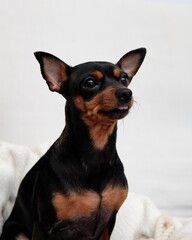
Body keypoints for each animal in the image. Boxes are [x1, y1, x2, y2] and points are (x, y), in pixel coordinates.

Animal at [0, 47, 146, 240]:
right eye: (90, 83)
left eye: (124, 79)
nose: (126, 93)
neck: (96, 149)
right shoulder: (44, 225)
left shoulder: (109, 222)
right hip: (17, 232)